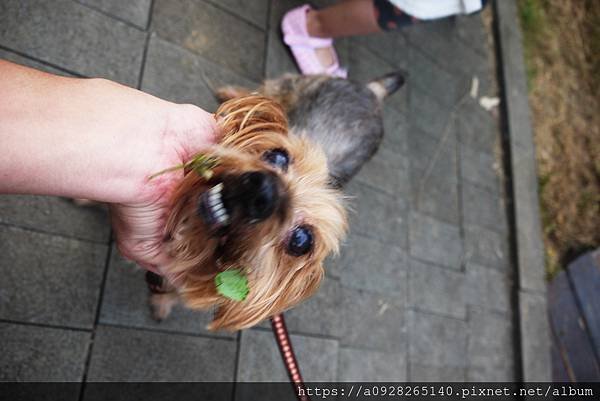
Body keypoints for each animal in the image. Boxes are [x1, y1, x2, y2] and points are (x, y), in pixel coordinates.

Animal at [148, 71, 406, 328]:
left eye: (301, 240)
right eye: (278, 156)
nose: (265, 191)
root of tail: (373, 91)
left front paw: (162, 301)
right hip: (300, 85)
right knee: (271, 89)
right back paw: (231, 92)